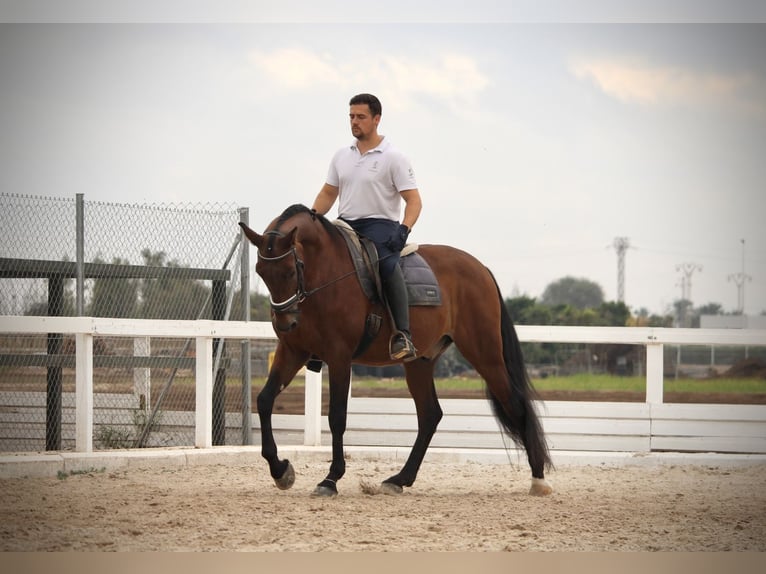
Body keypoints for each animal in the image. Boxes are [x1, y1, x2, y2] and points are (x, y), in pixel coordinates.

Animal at [239, 204, 553, 497]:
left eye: (292, 270)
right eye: (260, 272)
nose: (286, 322)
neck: (325, 272)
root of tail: (480, 268)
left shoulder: (339, 357)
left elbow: (337, 417)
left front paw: (331, 479)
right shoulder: (292, 350)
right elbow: (264, 400)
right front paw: (281, 470)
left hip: (485, 354)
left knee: (515, 404)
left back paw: (538, 479)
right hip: (420, 362)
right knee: (430, 415)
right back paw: (400, 479)